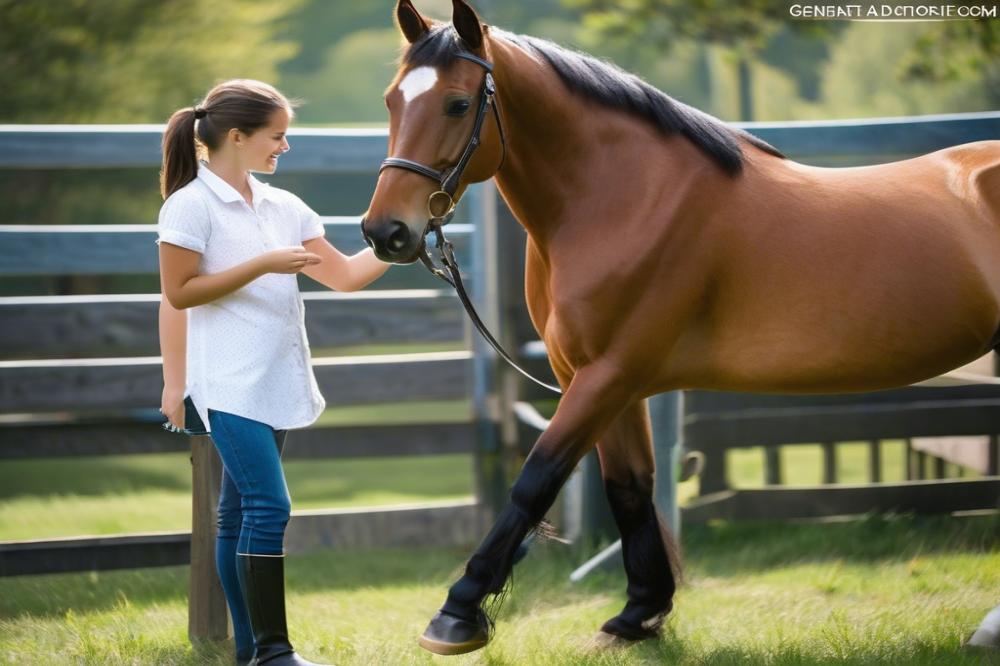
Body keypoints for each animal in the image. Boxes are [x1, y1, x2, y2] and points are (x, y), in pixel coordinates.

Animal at [360, 0, 1000, 652]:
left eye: (458, 104)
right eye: (391, 101)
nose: (385, 231)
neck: (627, 199)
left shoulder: (608, 375)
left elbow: (537, 478)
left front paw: (456, 614)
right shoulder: (602, 379)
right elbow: (629, 486)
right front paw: (638, 614)